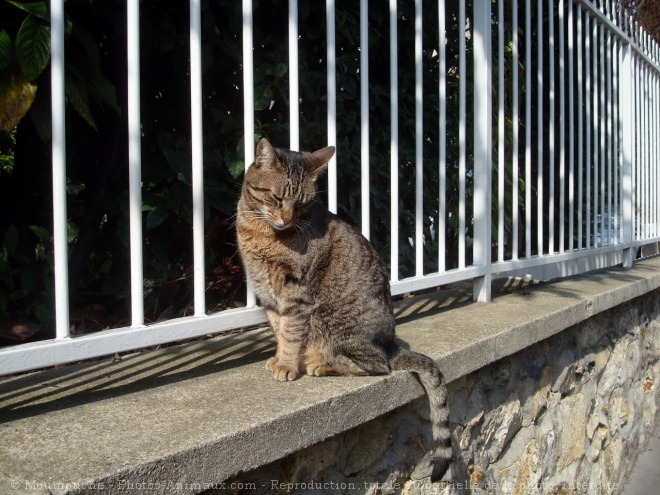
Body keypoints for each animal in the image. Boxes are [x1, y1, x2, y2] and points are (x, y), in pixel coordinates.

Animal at [235, 138, 452, 482]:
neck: (260, 232)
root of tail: (391, 345)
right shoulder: (267, 295)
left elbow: (291, 332)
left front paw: (287, 364)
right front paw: (280, 357)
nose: (287, 219)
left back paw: (322, 365)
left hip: (335, 324)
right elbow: (280, 331)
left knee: (378, 366)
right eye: (277, 197)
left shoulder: (296, 294)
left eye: (302, 205)